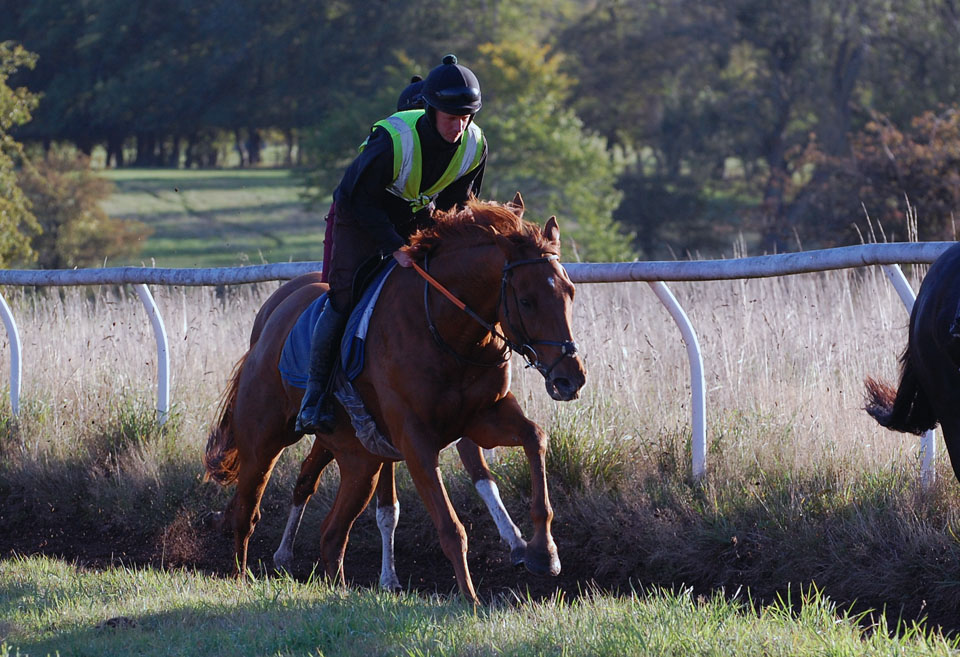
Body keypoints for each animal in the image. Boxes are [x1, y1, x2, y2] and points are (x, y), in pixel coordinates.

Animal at [204, 195, 584, 600]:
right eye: (527, 301)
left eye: (570, 292)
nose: (570, 378)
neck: (445, 328)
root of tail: (270, 323)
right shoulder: (415, 440)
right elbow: (451, 528)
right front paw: (471, 600)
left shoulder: (483, 416)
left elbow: (535, 438)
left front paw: (543, 553)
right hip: (264, 439)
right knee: (248, 511)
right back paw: (242, 577)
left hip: (360, 462)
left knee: (331, 532)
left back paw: (337, 590)